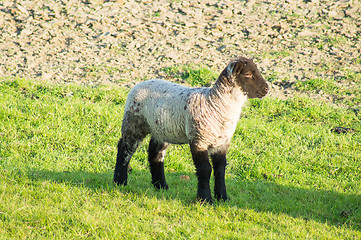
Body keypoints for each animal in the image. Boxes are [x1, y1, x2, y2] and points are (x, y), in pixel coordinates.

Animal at [114, 57, 268, 203]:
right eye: (248, 74)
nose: (266, 89)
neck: (216, 104)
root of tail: (138, 85)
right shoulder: (199, 140)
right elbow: (205, 169)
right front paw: (205, 199)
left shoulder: (221, 143)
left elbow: (220, 170)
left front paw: (222, 198)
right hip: (134, 123)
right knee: (125, 149)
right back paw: (120, 181)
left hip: (161, 129)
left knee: (155, 154)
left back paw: (161, 185)